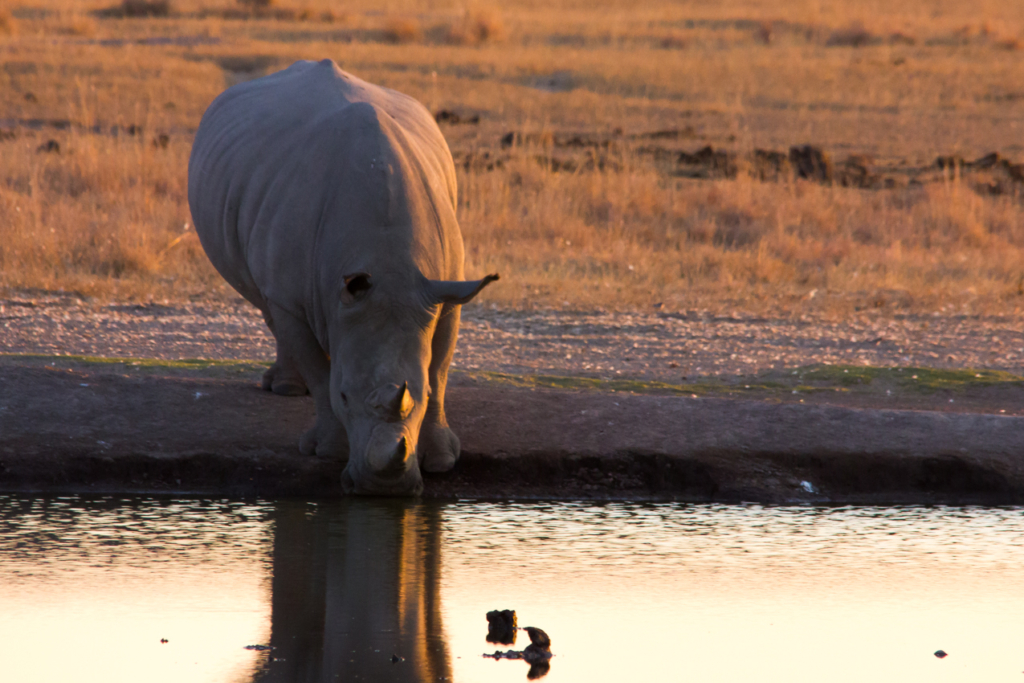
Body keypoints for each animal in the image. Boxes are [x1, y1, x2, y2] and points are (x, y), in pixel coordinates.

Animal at [191, 58, 499, 493]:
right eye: (345, 397)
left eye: (417, 398)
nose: (383, 489)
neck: (390, 266)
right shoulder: (293, 297)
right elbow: (320, 373)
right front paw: (328, 451)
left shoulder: (445, 291)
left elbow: (438, 373)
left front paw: (440, 460)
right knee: (269, 306)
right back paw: (286, 389)